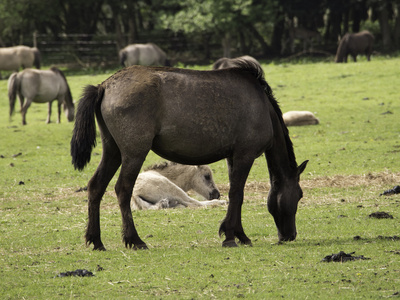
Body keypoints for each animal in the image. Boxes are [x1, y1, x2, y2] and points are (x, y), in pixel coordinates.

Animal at [71, 59, 310, 251]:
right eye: (299, 194)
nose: (290, 235)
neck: (262, 106)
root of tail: (104, 85)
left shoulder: (232, 157)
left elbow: (236, 194)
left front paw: (239, 234)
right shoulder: (245, 155)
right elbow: (237, 194)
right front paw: (230, 236)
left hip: (113, 152)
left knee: (96, 187)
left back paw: (96, 240)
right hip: (134, 153)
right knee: (123, 189)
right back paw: (135, 240)